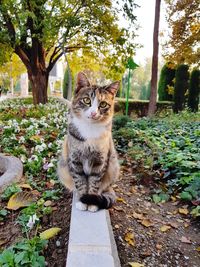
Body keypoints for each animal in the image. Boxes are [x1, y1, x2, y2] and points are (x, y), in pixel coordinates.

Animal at [57, 71, 120, 214]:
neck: (90, 129)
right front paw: (82, 201)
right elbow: (80, 181)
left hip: (113, 166)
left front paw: (91, 203)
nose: (93, 113)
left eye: (103, 104)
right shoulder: (74, 160)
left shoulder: (100, 162)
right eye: (86, 100)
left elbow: (94, 182)